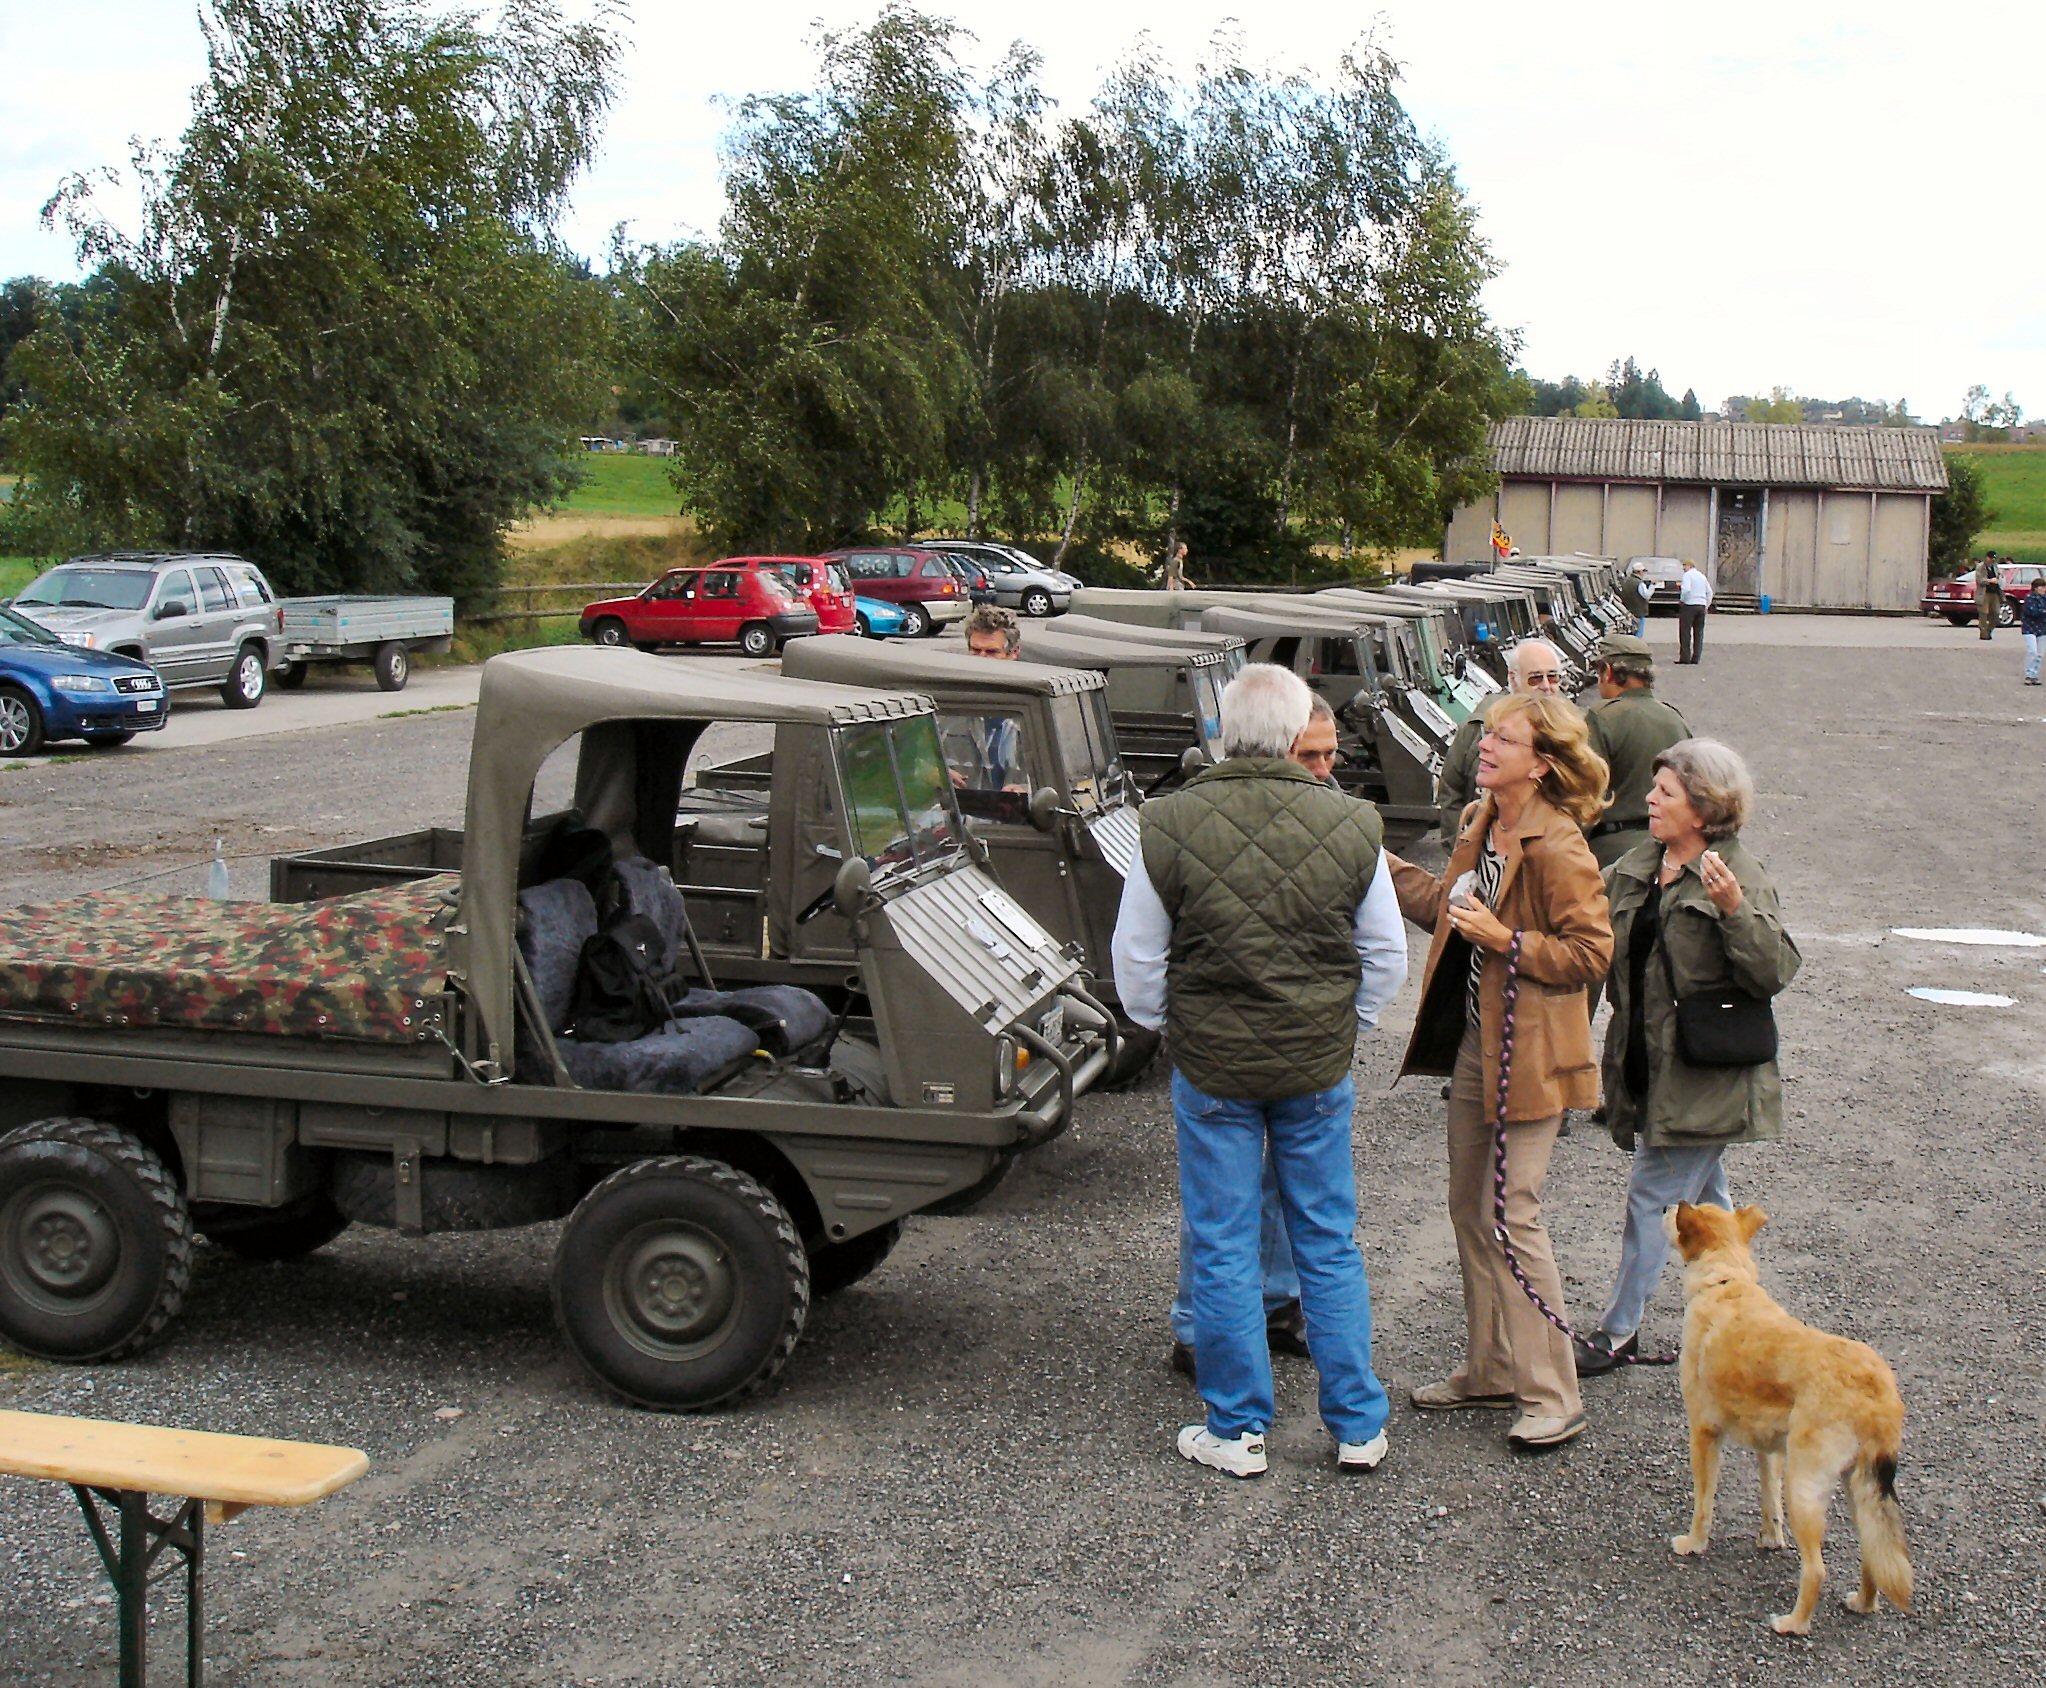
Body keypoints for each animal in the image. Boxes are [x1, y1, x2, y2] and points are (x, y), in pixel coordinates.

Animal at [1663, 1202, 1913, 1636]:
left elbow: (1703, 1503)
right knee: (1872, 1553)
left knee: (1816, 1569)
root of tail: (1875, 1388)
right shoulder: (1769, 1448)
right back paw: (1862, 1604)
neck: (1725, 1281)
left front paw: (1693, 1544)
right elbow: (1768, 1498)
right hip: (1857, 1486)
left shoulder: (1704, 1434)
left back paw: (1794, 1623)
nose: (1663, 1207)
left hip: (1805, 1486)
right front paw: (1769, 1538)